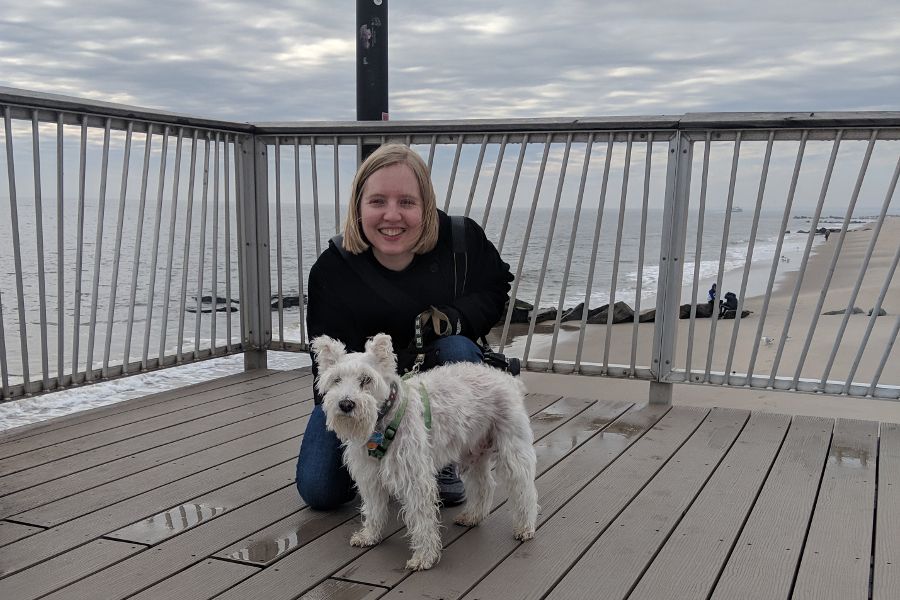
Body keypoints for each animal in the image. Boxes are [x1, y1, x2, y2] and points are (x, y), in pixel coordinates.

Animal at [312, 332, 536, 572]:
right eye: (336, 380)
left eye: (366, 379)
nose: (346, 404)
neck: (384, 420)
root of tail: (506, 379)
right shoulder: (369, 476)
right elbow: (373, 509)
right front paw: (370, 535)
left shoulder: (415, 479)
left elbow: (422, 520)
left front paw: (424, 557)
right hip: (473, 452)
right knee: (484, 484)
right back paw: (472, 516)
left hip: (513, 450)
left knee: (524, 488)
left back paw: (525, 527)